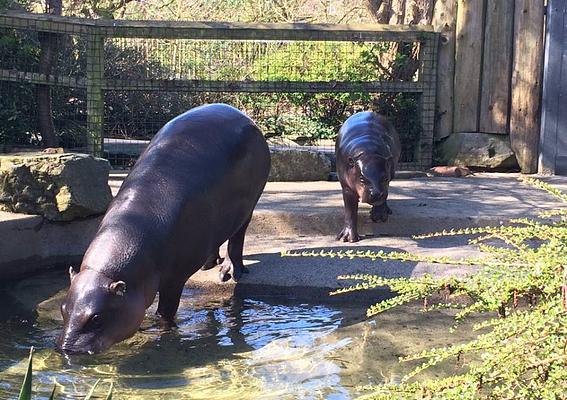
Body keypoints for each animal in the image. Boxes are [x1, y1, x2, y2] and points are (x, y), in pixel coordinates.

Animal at [58, 104, 272, 354]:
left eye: (97, 318)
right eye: (63, 309)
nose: (66, 349)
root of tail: (243, 116)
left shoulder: (175, 279)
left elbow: (165, 312)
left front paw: (163, 330)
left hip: (249, 204)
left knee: (237, 236)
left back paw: (229, 272)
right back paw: (209, 264)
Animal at [336, 112, 402, 242]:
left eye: (384, 178)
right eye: (361, 178)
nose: (376, 194)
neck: (368, 152)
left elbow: (382, 199)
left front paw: (379, 217)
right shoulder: (347, 187)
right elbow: (350, 211)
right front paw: (347, 238)